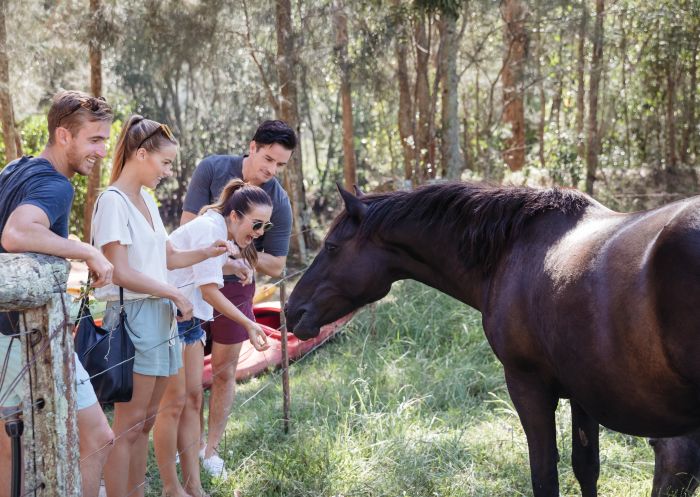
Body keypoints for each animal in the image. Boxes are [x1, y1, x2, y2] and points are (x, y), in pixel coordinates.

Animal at [284, 182, 700, 496]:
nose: (292, 311)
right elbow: (586, 469)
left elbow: (545, 477)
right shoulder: (583, 393)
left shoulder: (528, 387)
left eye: (332, 247)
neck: (510, 251)